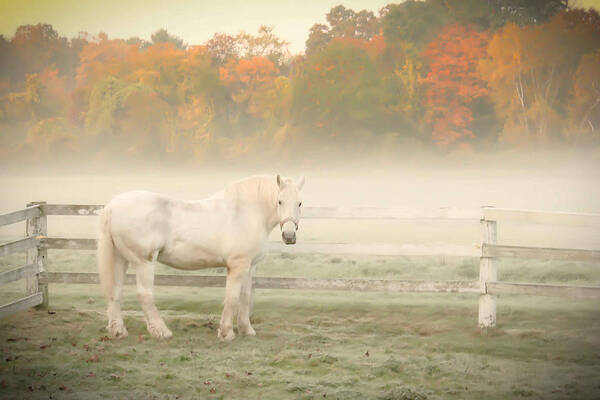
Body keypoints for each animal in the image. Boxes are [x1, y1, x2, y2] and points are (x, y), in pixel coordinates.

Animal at [99, 175, 304, 340]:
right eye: (279, 201)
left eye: (300, 203)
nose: (289, 236)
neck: (246, 212)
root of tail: (112, 206)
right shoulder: (238, 265)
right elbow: (232, 297)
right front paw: (226, 333)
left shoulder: (249, 266)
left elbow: (244, 297)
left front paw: (246, 330)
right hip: (144, 262)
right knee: (144, 295)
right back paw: (162, 331)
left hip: (120, 259)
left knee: (114, 291)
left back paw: (118, 331)